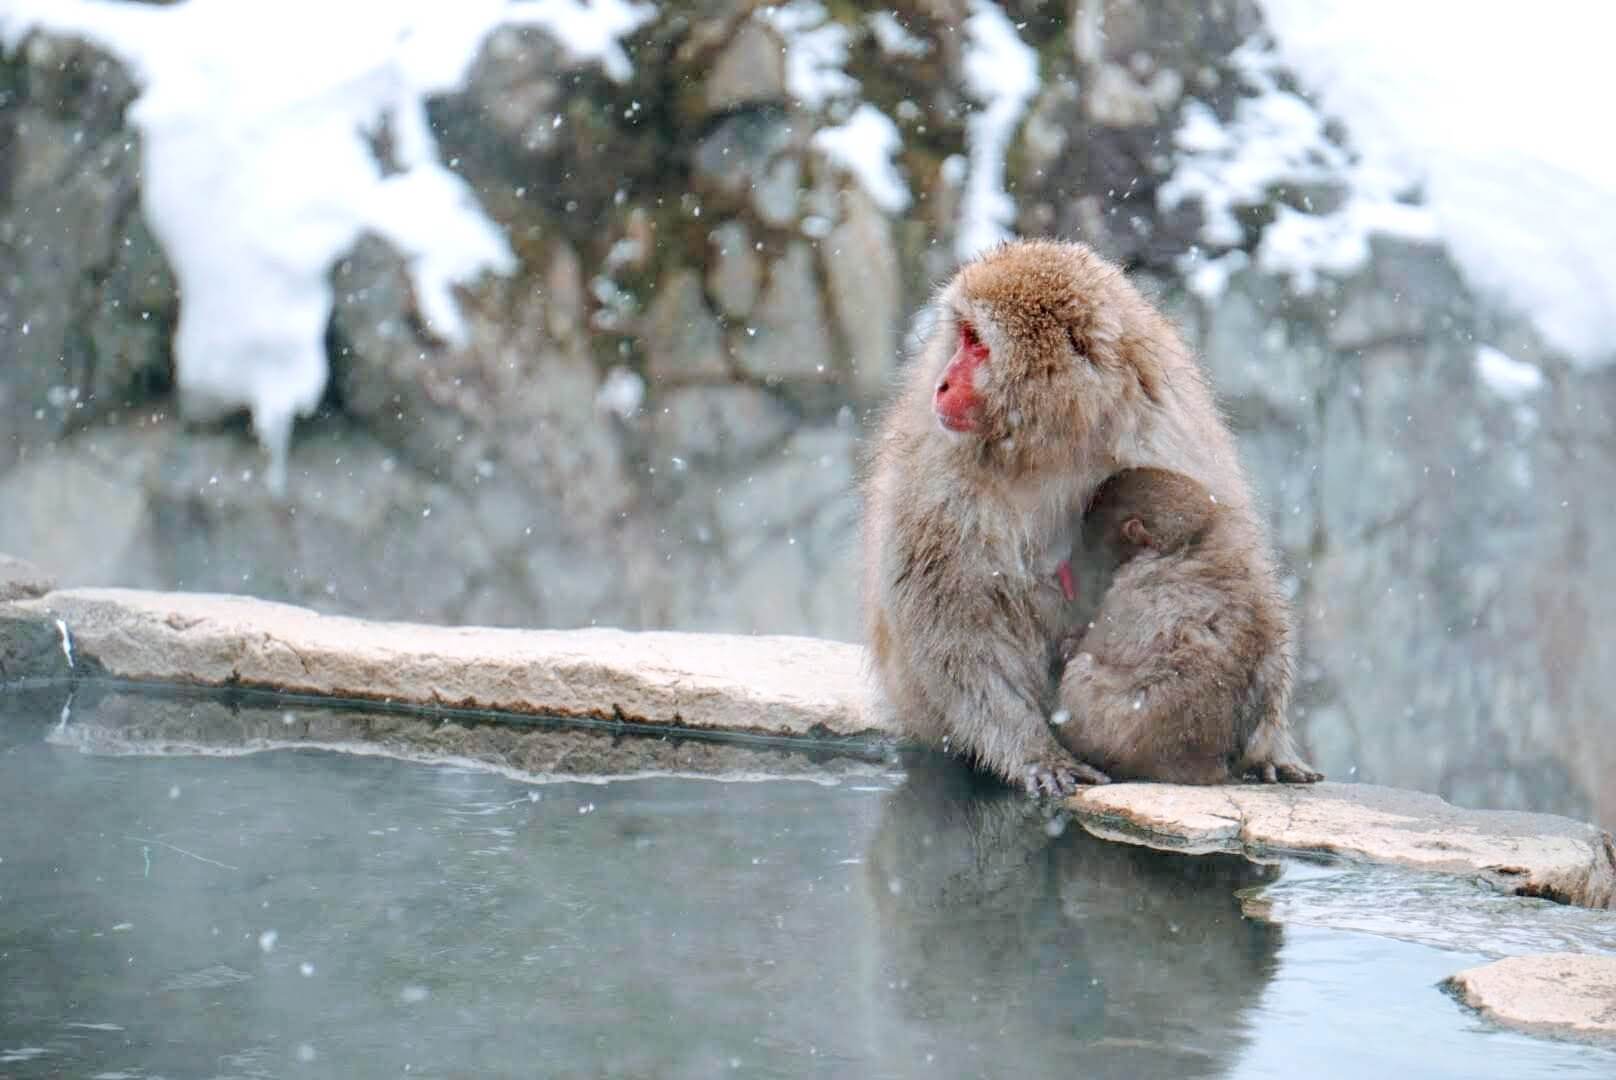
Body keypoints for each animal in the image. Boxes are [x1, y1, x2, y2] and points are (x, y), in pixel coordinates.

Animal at [1053, 468, 1322, 785]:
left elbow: (1096, 644)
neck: (1189, 543)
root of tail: (1209, 764)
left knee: (1081, 669)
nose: (1073, 560)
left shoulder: (1129, 590)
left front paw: (1071, 643)